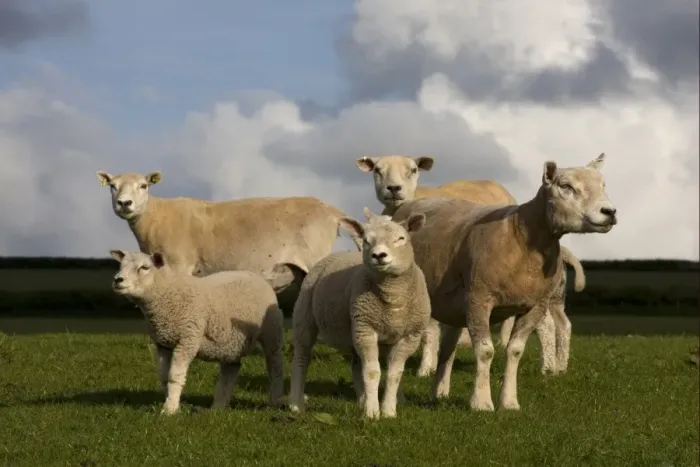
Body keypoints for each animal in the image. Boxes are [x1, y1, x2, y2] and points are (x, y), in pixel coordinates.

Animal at [95, 170, 361, 304]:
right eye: (112, 186)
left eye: (144, 186)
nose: (124, 203)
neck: (155, 215)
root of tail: (332, 211)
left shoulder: (178, 264)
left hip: (315, 257)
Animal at [109, 249, 285, 415]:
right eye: (121, 265)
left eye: (144, 267)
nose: (118, 280)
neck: (168, 294)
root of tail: (257, 277)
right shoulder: (162, 344)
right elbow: (164, 377)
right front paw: (169, 401)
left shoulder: (187, 339)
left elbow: (174, 376)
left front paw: (170, 409)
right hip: (232, 341)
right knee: (231, 370)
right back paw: (218, 406)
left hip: (271, 332)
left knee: (275, 367)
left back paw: (275, 402)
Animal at [287, 207, 432, 420]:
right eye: (366, 241)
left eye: (401, 238)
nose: (379, 255)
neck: (392, 297)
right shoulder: (366, 329)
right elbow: (372, 372)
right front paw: (372, 413)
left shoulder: (409, 336)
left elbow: (394, 374)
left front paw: (388, 411)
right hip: (305, 317)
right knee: (301, 358)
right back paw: (296, 404)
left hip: (354, 330)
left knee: (356, 366)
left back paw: (362, 401)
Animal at [357, 154, 586, 377]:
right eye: (377, 170)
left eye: (413, 170)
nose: (394, 189)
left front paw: (427, 367)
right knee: (561, 324)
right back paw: (558, 366)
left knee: (545, 325)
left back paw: (546, 366)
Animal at [390, 153, 617, 411]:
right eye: (566, 186)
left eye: (603, 185)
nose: (609, 211)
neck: (520, 237)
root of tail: (405, 207)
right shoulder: (479, 299)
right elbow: (485, 351)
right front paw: (481, 402)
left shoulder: (535, 306)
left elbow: (515, 351)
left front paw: (509, 403)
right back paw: (398, 398)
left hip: (453, 305)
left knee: (448, 347)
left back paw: (439, 393)